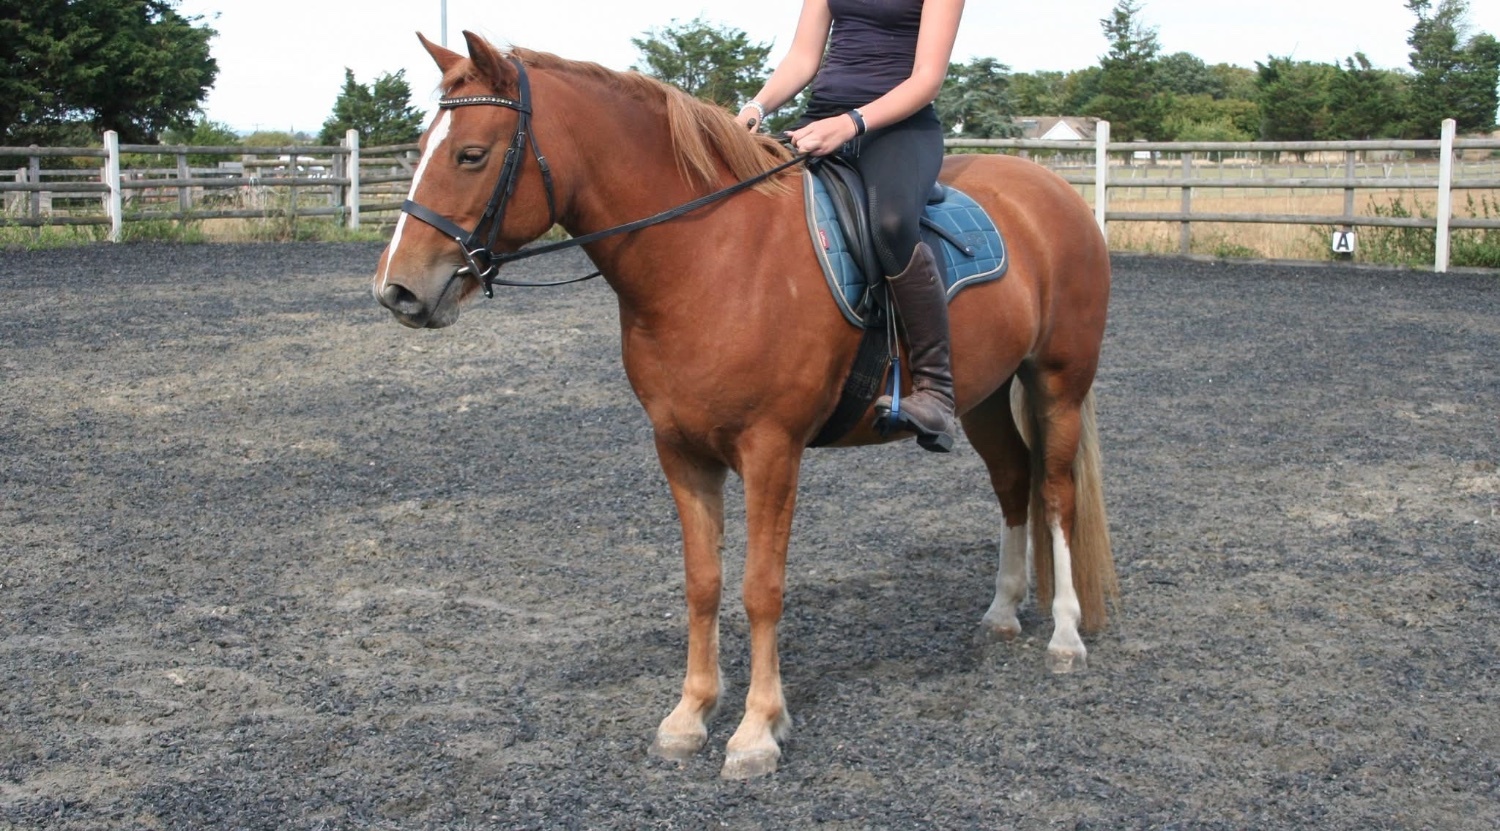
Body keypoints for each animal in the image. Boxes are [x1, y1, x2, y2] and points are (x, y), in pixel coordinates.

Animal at [373, 31, 1116, 780]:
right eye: (422, 145)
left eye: (471, 154)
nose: (397, 291)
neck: (710, 255)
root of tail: (1054, 191)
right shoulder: (680, 449)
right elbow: (703, 582)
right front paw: (690, 714)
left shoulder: (771, 450)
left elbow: (762, 587)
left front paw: (758, 729)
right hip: (985, 396)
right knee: (1014, 481)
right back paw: (1002, 611)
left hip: (1057, 382)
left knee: (1055, 492)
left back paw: (1065, 635)